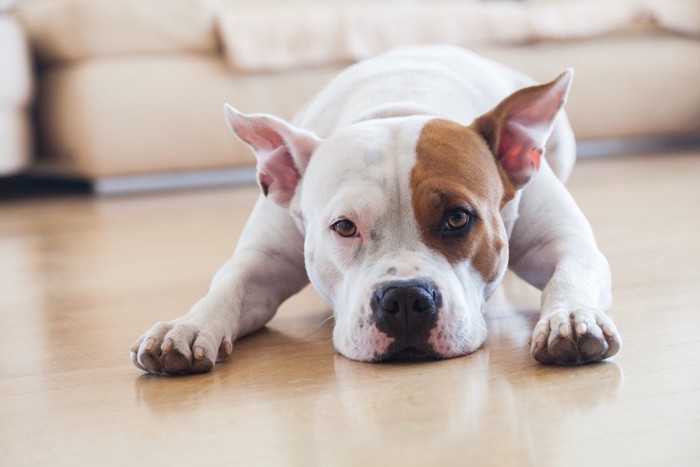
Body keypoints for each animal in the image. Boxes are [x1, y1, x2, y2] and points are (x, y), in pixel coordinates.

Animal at [130, 45, 616, 376]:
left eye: (459, 218)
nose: (405, 299)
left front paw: (571, 318)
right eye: (345, 227)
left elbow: (571, 271)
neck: (397, 105)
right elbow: (228, 287)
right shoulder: (263, 260)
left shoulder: (566, 242)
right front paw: (189, 326)